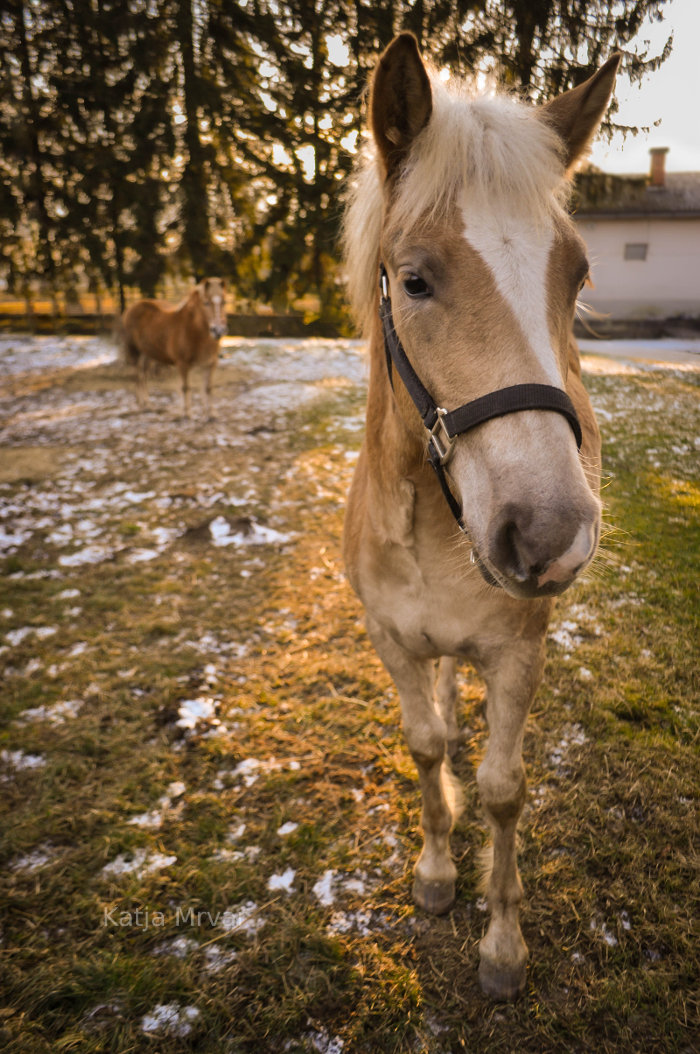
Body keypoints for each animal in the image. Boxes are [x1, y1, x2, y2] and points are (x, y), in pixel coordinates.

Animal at [121, 280, 226, 419]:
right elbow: (186, 387)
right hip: (135, 353)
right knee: (138, 377)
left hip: (148, 355)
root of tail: (132, 307)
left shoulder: (211, 363)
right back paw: (142, 405)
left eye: (224, 302)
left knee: (144, 376)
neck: (194, 331)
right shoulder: (182, 364)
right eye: (206, 303)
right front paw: (187, 414)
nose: (218, 330)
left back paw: (148, 404)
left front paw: (212, 414)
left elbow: (208, 388)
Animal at [343, 32, 619, 999]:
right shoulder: (391, 640)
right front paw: (435, 869)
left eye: (579, 274)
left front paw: (502, 944)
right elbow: (425, 743)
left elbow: (504, 789)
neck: (433, 531)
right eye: (415, 280)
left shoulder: (516, 656)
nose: (548, 533)